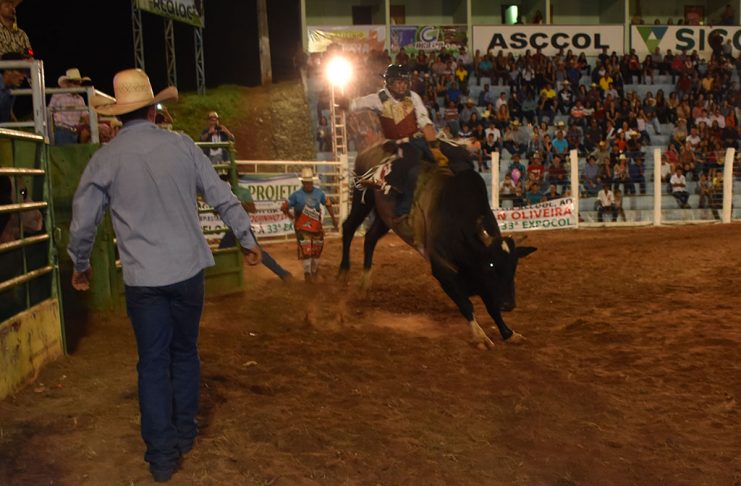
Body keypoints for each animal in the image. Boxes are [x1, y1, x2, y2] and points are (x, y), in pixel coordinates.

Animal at [338, 112, 536, 349]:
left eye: (515, 265)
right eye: (491, 264)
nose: (509, 303)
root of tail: (368, 151)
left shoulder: (482, 280)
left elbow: (491, 307)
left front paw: (508, 332)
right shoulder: (443, 270)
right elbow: (466, 304)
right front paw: (480, 336)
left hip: (385, 217)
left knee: (370, 238)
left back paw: (365, 283)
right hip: (362, 199)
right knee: (348, 228)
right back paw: (344, 271)